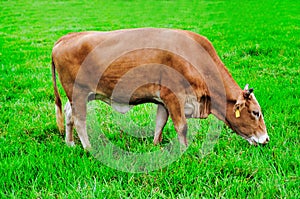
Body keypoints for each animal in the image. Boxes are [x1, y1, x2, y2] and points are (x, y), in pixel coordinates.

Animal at [51, 28, 270, 149]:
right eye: (256, 112)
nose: (266, 139)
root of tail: (66, 38)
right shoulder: (173, 97)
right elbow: (182, 126)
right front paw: (184, 150)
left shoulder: (163, 101)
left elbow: (160, 123)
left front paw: (156, 145)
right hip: (78, 92)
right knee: (79, 120)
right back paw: (88, 148)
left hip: (77, 95)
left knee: (69, 114)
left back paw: (70, 143)